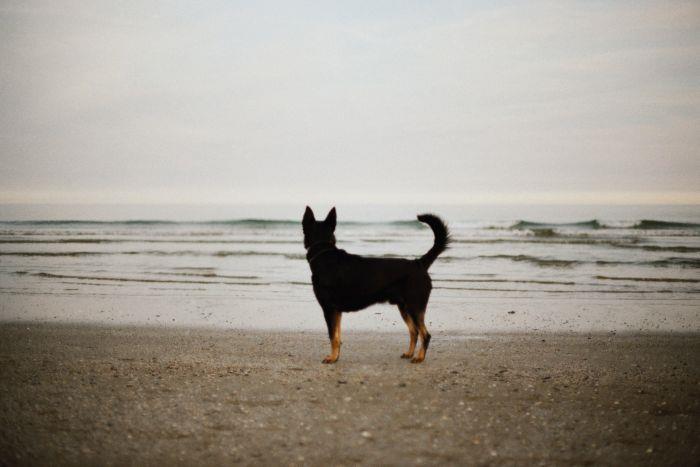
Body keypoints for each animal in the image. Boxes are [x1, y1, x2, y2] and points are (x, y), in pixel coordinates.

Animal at [304, 207, 452, 364]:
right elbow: (337, 337)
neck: (325, 256)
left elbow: (332, 336)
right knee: (414, 331)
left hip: (414, 307)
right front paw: (336, 356)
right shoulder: (336, 311)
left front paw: (332, 358)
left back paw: (420, 357)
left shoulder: (329, 309)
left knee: (425, 334)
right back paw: (410, 353)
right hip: (404, 308)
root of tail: (419, 263)